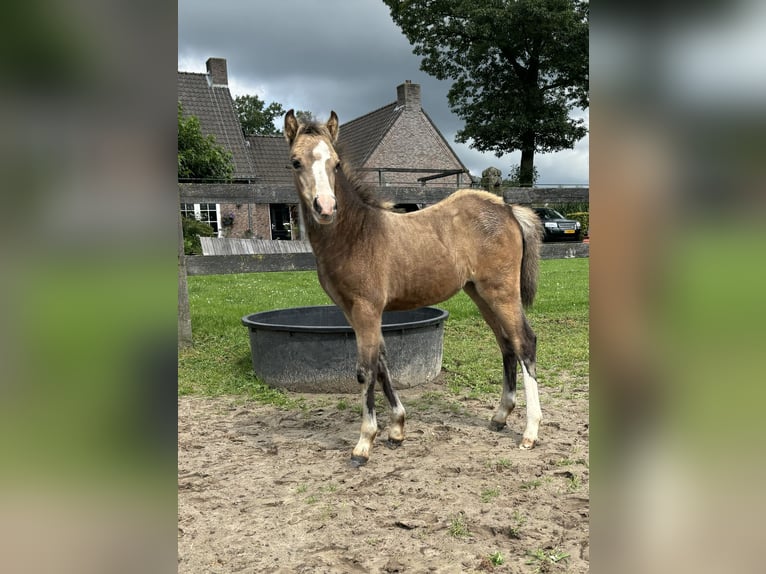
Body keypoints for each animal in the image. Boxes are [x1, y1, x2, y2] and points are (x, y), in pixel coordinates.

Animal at [284, 109, 544, 468]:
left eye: (335, 164)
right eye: (296, 162)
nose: (325, 207)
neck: (355, 235)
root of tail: (507, 208)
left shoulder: (366, 308)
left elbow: (366, 370)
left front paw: (364, 443)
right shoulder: (352, 311)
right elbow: (381, 362)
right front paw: (396, 429)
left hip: (501, 291)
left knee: (524, 343)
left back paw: (530, 432)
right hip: (479, 293)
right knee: (506, 343)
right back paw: (500, 416)